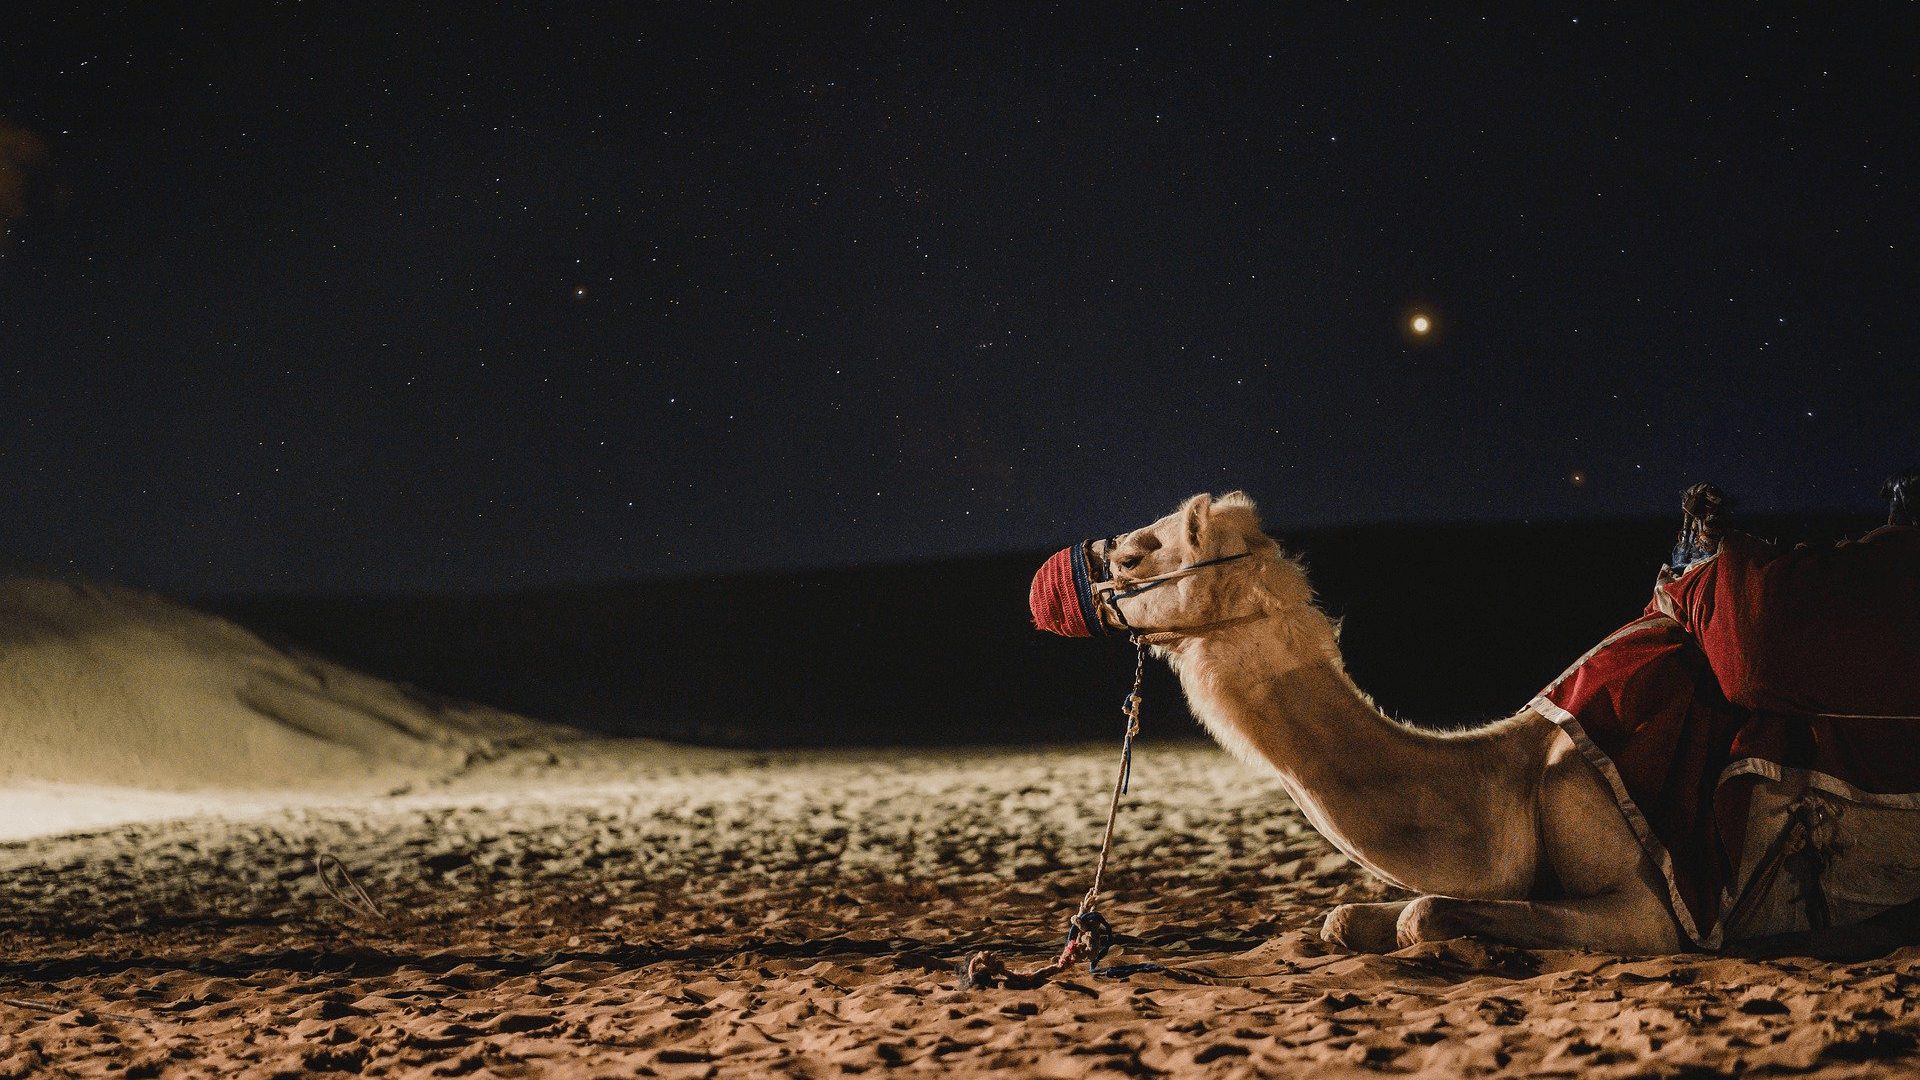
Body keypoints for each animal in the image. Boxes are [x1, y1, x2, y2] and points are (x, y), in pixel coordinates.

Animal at [1048, 491, 1696, 955]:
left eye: (1132, 557)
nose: (1053, 583)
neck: (1511, 775)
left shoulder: (1645, 906)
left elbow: (1420, 912)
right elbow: (1343, 918)